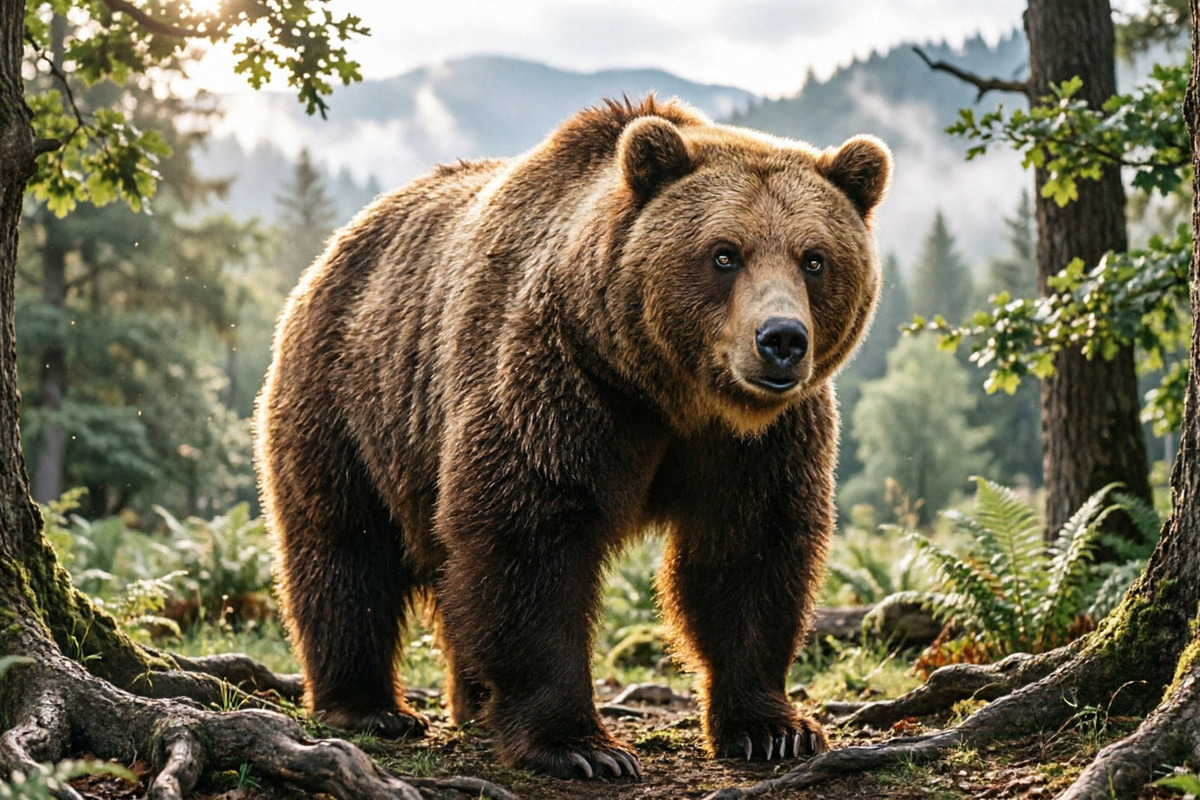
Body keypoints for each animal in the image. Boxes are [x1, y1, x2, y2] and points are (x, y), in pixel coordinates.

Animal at [254, 96, 890, 780]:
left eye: (814, 258)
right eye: (725, 253)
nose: (781, 339)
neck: (671, 391)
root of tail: (337, 246)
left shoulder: (759, 440)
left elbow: (749, 549)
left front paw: (772, 728)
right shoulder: (561, 383)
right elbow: (530, 537)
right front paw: (581, 746)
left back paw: (473, 701)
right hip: (352, 398)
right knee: (345, 548)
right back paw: (369, 707)